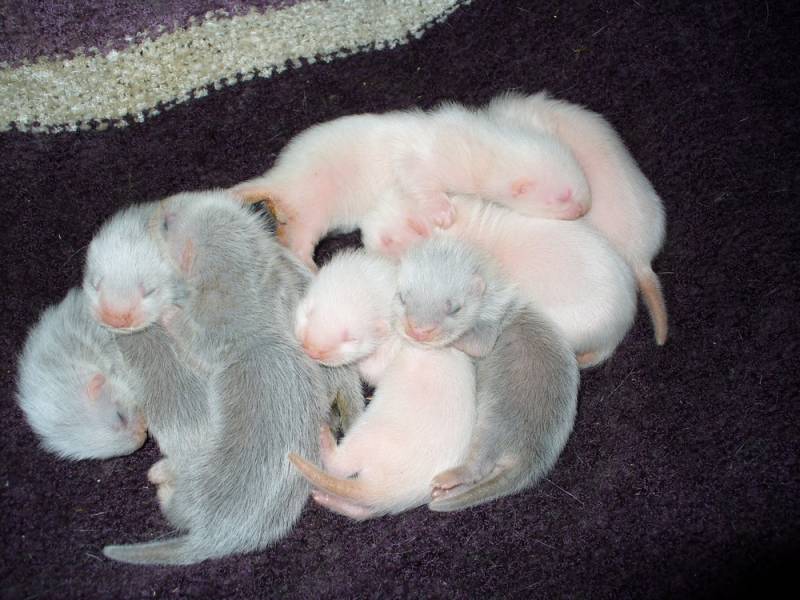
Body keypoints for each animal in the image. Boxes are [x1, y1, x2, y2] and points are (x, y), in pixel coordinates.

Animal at [102, 190, 362, 565]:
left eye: (166, 224)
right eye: (189, 199)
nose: (160, 206)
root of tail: (213, 535)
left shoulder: (214, 334)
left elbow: (195, 342)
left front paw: (169, 315)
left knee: (175, 506)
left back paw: (161, 477)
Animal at [229, 103, 589, 267]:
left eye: (580, 176)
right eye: (563, 197)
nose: (585, 207)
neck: (482, 143)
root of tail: (281, 178)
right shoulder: (428, 157)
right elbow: (415, 176)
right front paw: (441, 211)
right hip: (313, 201)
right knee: (301, 239)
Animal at [290, 250, 476, 519]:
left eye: (351, 338)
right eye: (309, 312)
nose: (312, 349)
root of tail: (386, 490)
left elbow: (375, 370)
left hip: (369, 435)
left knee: (339, 466)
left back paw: (325, 439)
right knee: (362, 510)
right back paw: (332, 501)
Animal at [395, 237, 579, 510]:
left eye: (455, 308)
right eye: (402, 298)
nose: (418, 330)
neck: (498, 299)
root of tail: (534, 456)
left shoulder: (490, 324)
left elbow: (478, 345)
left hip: (495, 422)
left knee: (479, 465)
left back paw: (449, 479)